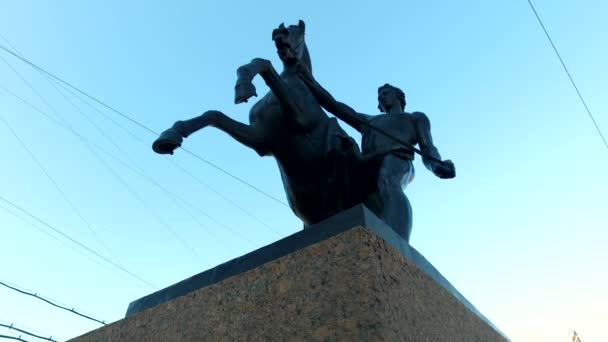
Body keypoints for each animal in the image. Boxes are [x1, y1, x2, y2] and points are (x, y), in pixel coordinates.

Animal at [152, 20, 370, 226]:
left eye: (298, 31)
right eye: (281, 30)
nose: (279, 33)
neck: (294, 77)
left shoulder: (299, 119)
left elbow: (264, 63)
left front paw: (244, 87)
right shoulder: (261, 139)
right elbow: (214, 115)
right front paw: (169, 137)